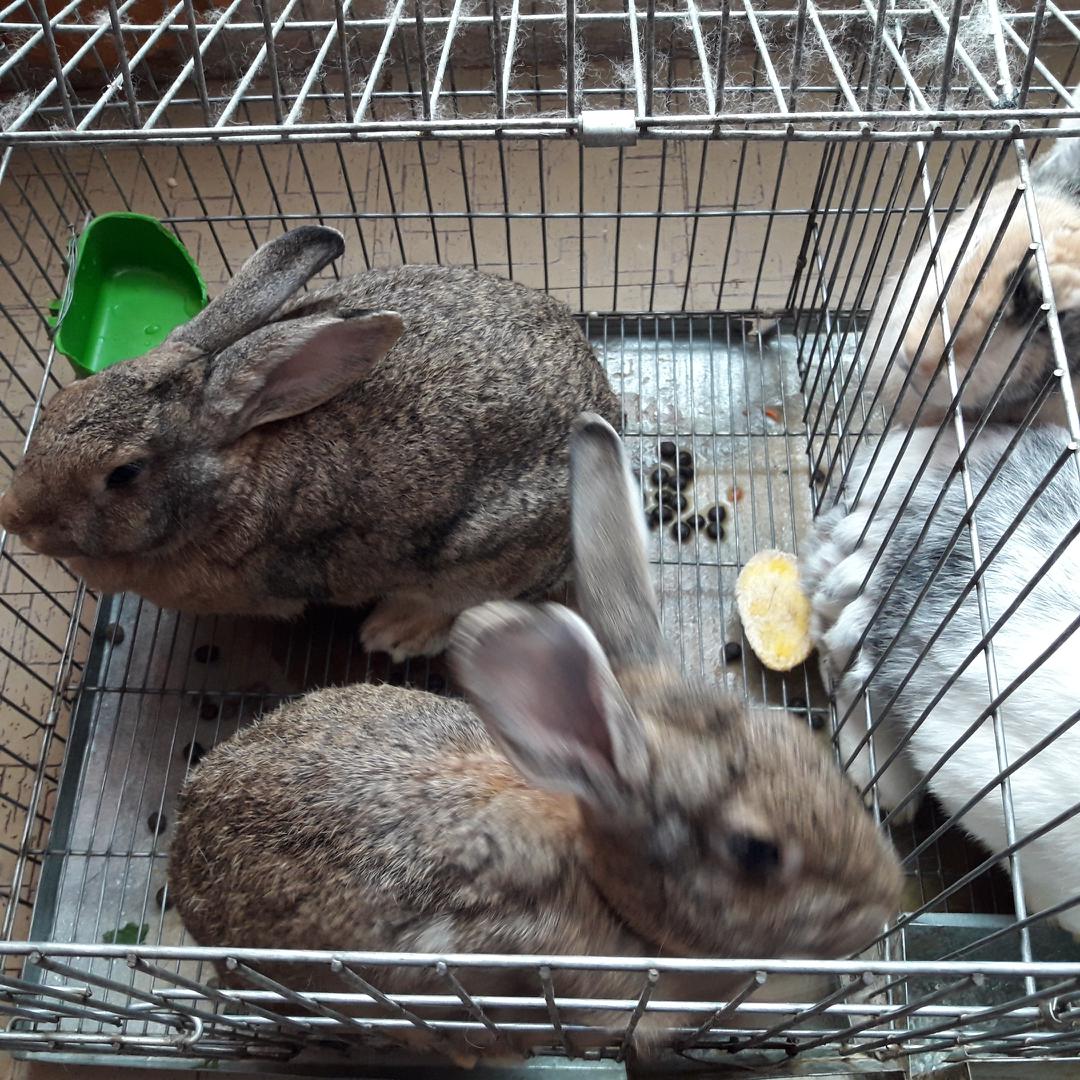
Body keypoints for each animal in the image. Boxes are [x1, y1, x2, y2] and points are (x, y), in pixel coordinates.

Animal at [0, 226, 619, 661]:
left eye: (124, 474)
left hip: (486, 556)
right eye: (62, 399)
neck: (231, 475)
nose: (13, 516)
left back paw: (395, 631)